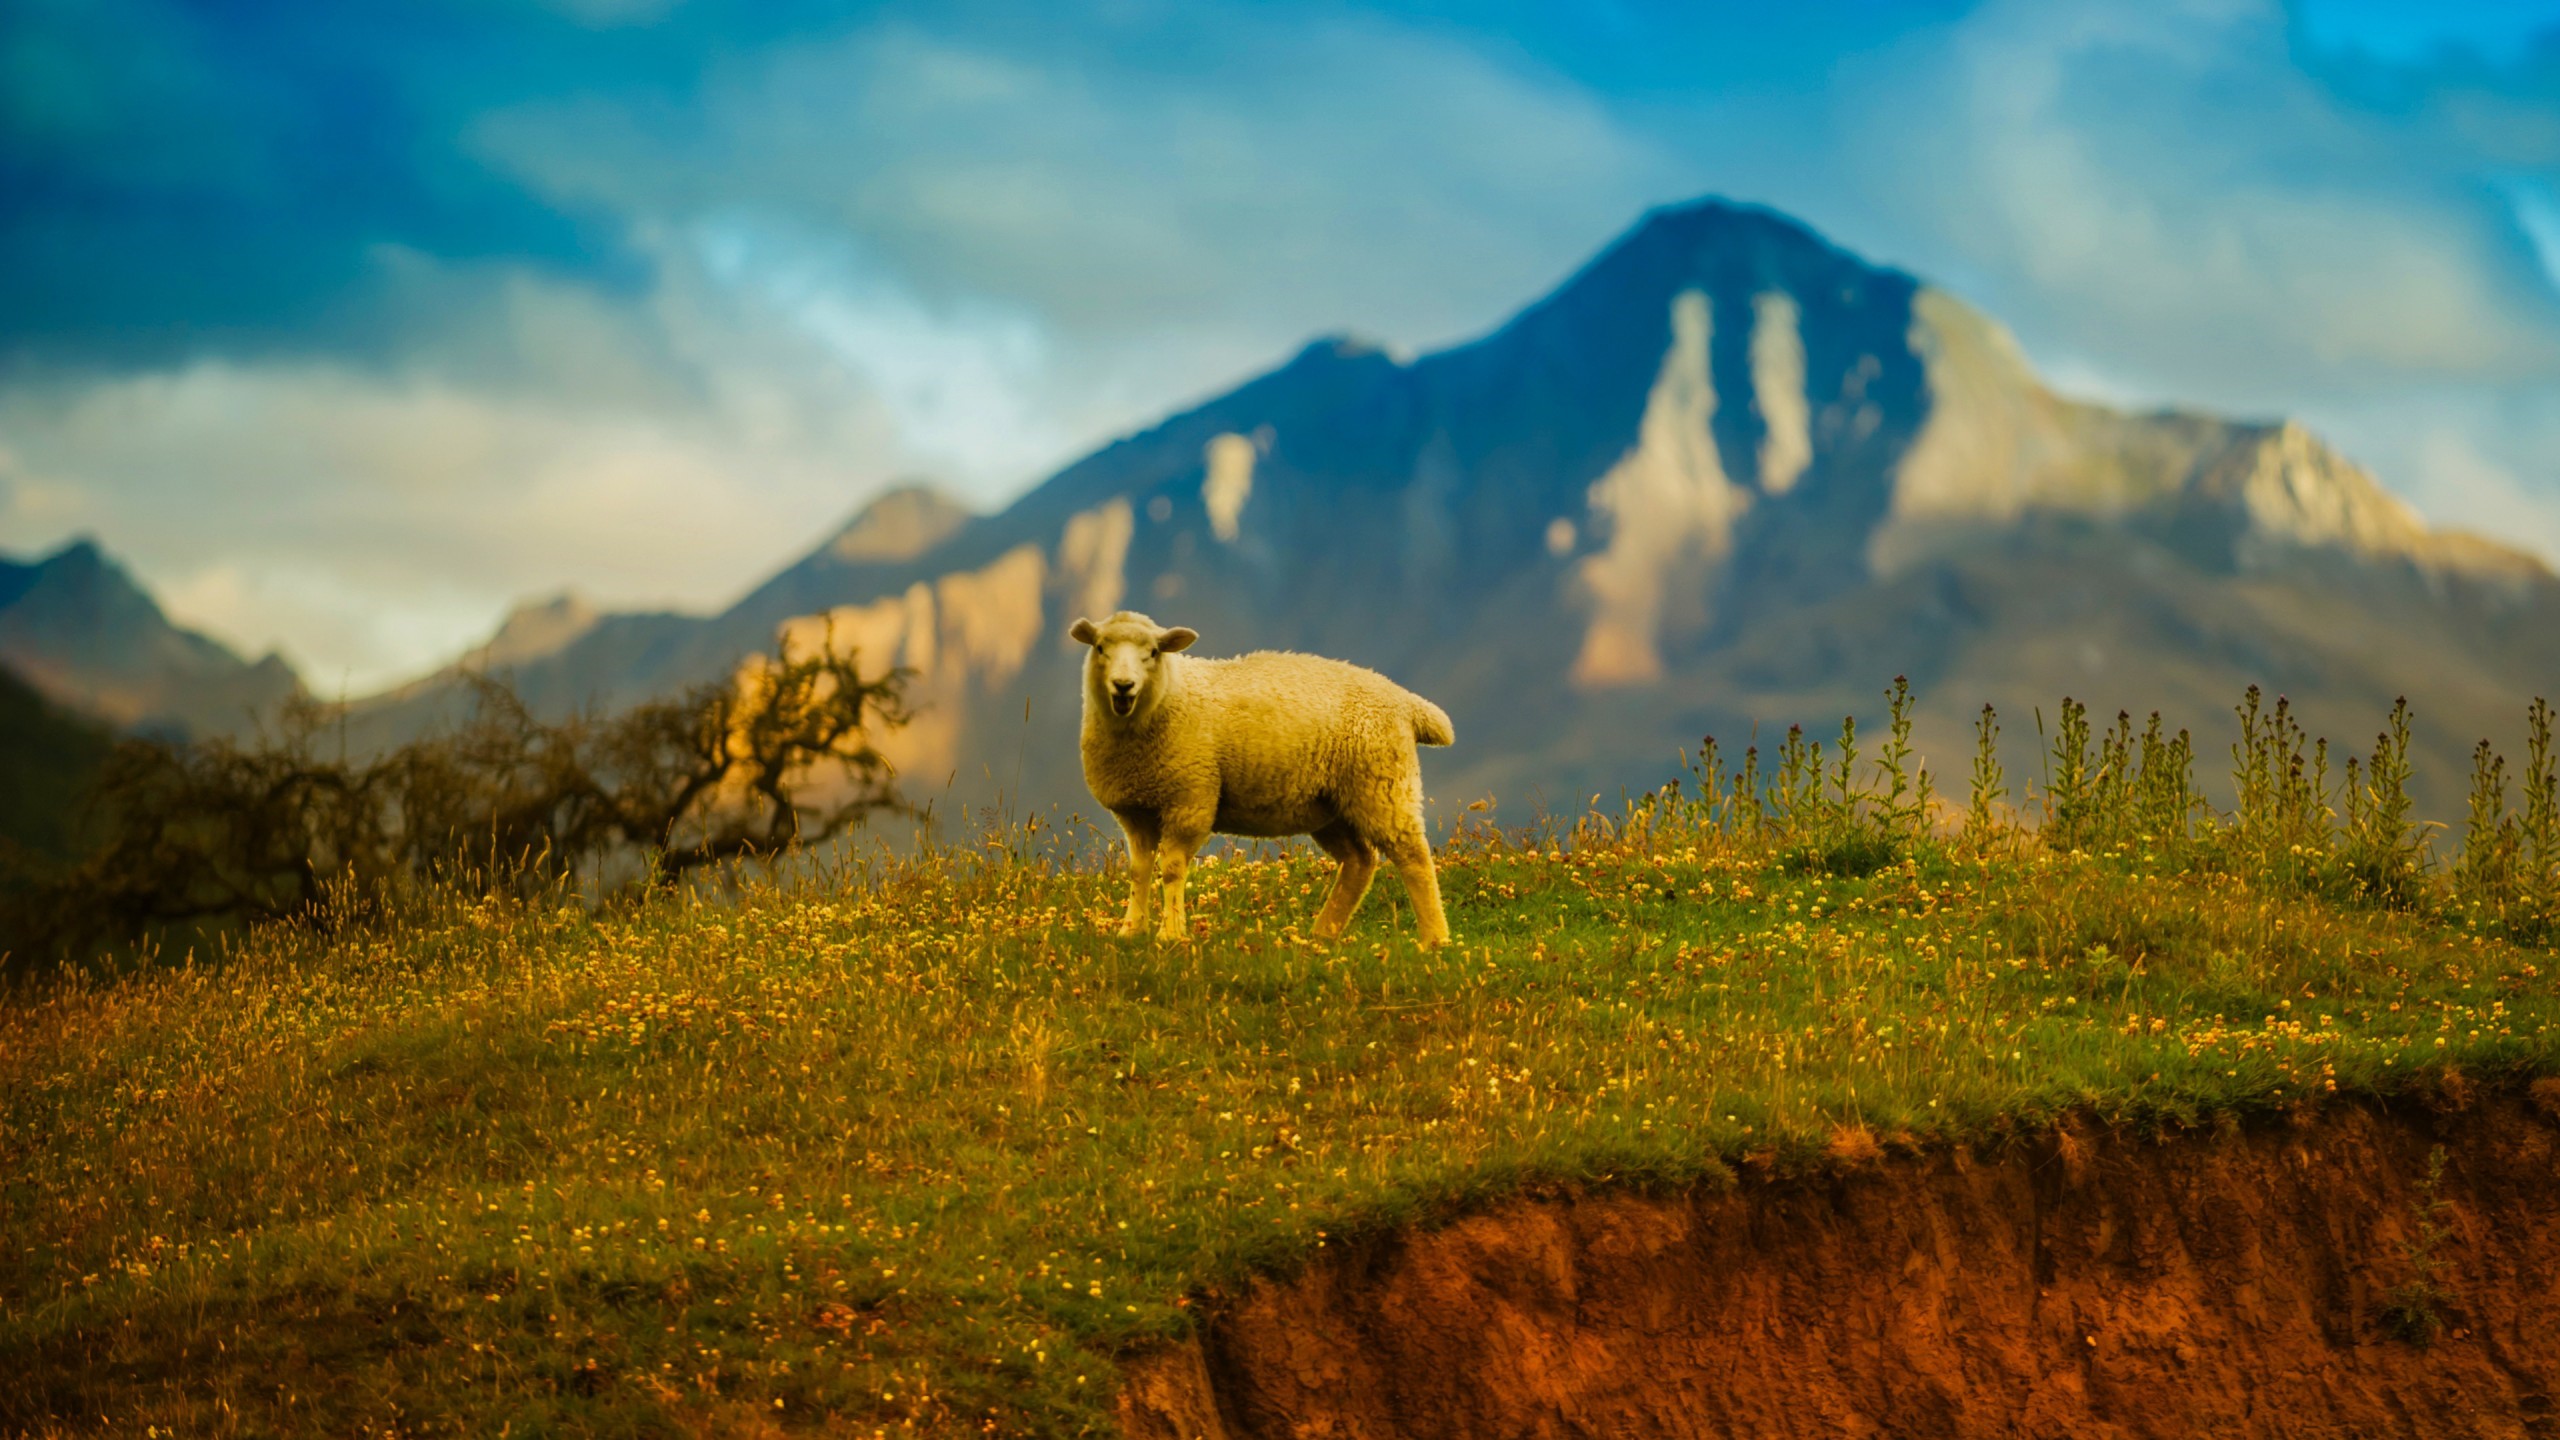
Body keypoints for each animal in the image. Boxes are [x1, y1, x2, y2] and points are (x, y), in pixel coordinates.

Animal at [1068, 610, 1456, 947]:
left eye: (1152, 652)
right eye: (1100, 647)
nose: (1123, 686)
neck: (1169, 696)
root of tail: (1406, 701)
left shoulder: (1189, 800)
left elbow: (1173, 869)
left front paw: (1171, 933)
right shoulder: (1136, 810)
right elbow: (1139, 870)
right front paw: (1131, 931)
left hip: (1381, 785)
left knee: (1413, 857)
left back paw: (1434, 939)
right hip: (1330, 804)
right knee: (1360, 861)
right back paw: (1323, 933)